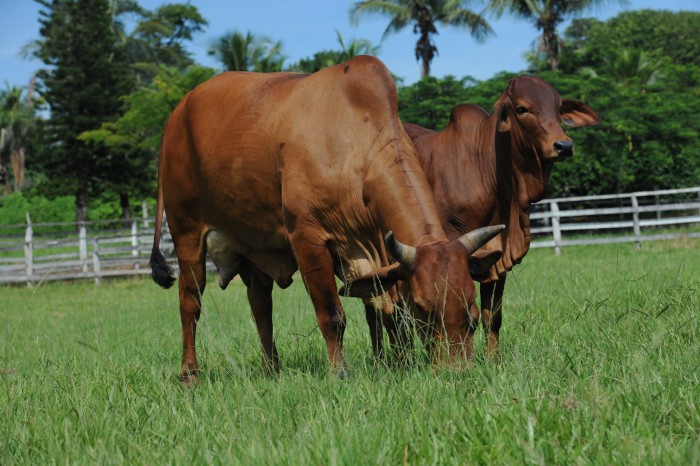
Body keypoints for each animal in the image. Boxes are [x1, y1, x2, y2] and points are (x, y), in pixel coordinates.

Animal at [152, 55, 504, 382]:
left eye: (472, 311)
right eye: (423, 308)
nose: (456, 371)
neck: (353, 146)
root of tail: (176, 114)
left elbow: (387, 311)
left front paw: (398, 364)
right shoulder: (309, 240)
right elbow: (333, 315)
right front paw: (340, 373)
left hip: (253, 247)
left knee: (260, 304)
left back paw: (271, 369)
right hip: (186, 233)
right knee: (190, 300)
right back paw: (189, 373)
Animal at [402, 74, 600, 356]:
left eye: (558, 108)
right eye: (522, 108)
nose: (564, 145)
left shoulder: (497, 260)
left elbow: (492, 317)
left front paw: (492, 360)